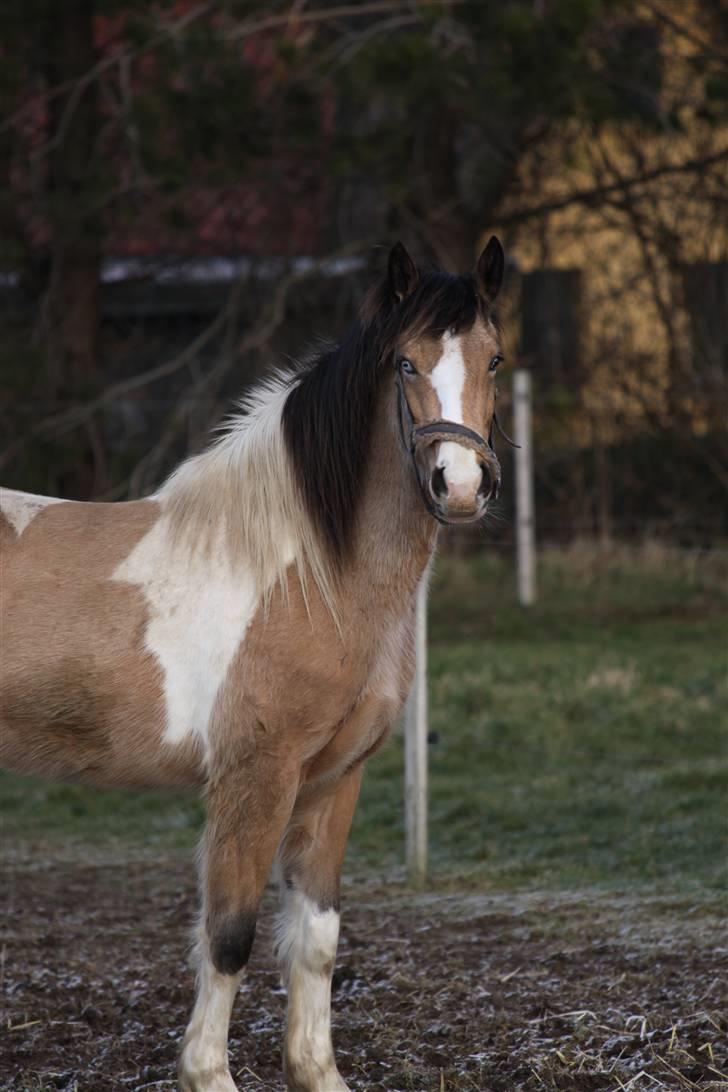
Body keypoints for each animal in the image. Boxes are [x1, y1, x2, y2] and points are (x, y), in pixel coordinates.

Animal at [1, 241, 506, 1092]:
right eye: (405, 363)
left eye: (494, 359)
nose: (460, 485)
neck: (305, 573)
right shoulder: (255, 776)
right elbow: (230, 934)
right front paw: (207, 1073)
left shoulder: (334, 781)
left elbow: (316, 938)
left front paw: (316, 1072)